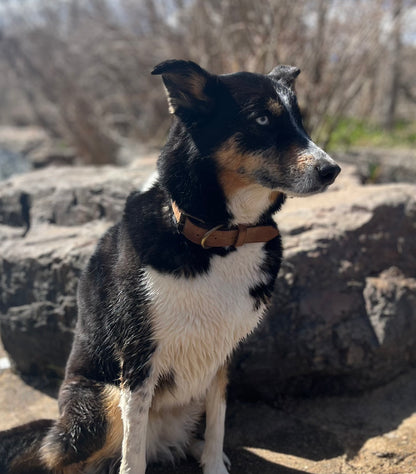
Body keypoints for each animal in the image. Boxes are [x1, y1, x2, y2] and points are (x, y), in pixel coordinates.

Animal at [0, 60, 342, 474]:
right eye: (261, 118)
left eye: (299, 120)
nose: (332, 170)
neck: (219, 239)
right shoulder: (138, 361)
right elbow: (132, 455)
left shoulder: (221, 359)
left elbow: (217, 425)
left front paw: (214, 465)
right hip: (101, 403)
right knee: (70, 458)